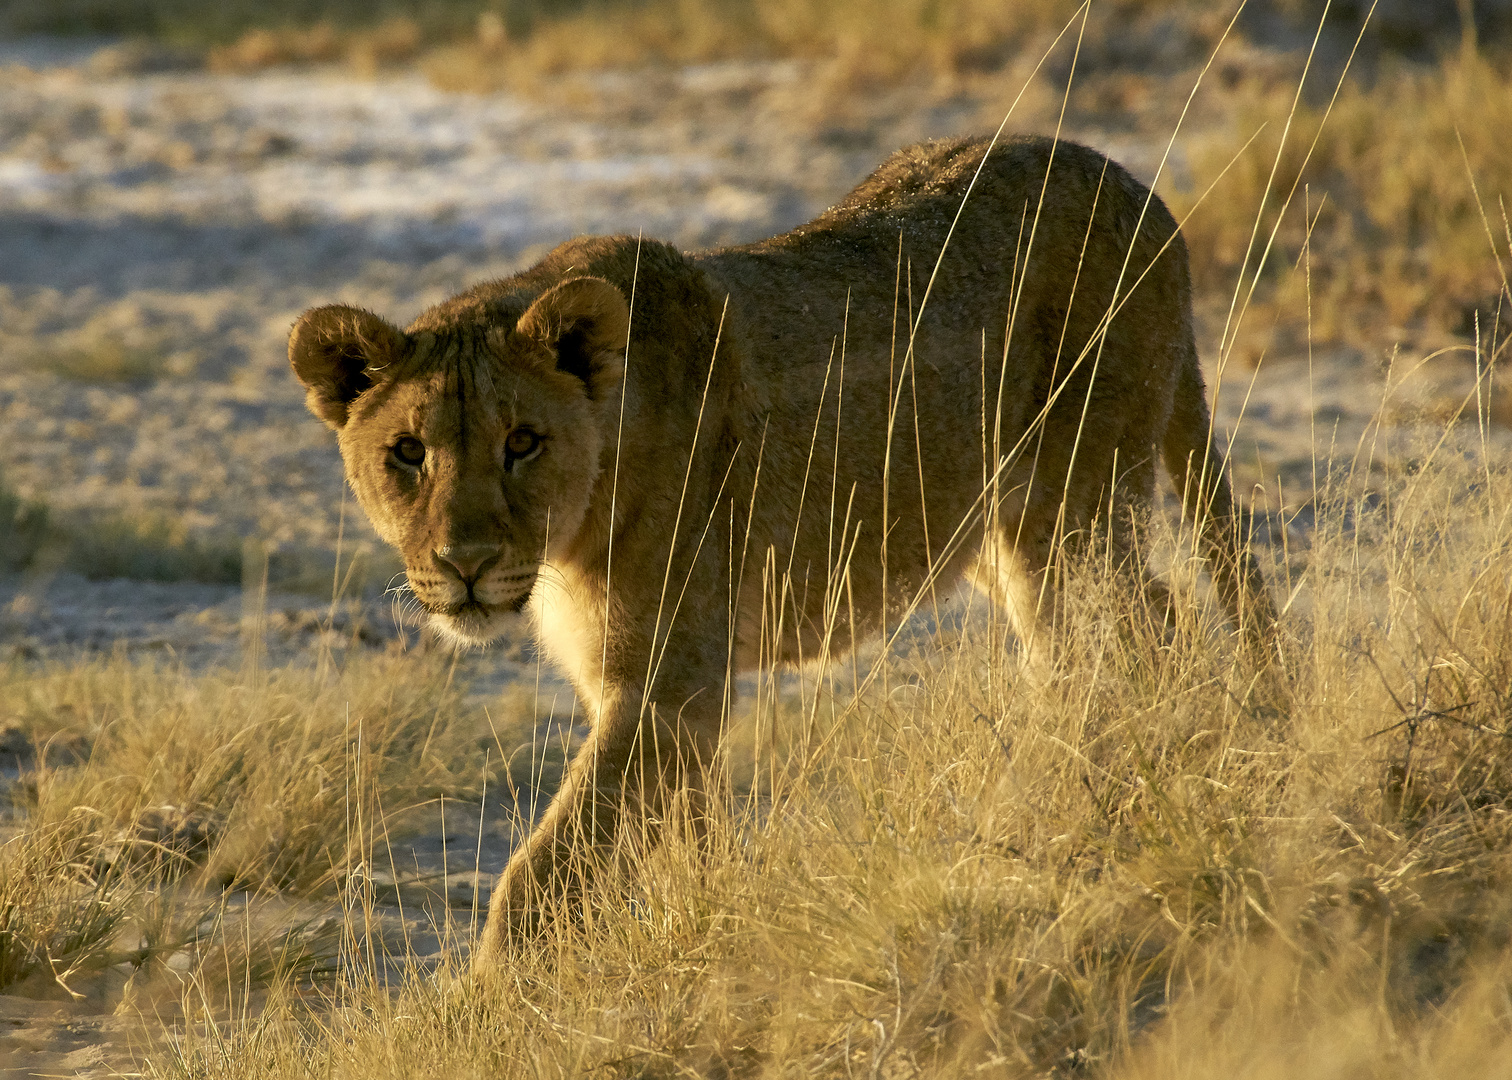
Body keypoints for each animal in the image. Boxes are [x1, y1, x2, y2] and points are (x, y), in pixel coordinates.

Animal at [288, 132, 1270, 962]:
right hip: (1012, 534)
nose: (466, 564)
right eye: (407, 453)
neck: (576, 526)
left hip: (1076, 505)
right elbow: (681, 839)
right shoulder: (651, 693)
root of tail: (1143, 193)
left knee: (1143, 633)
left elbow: (546, 869)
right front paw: (694, 933)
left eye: (522, 442)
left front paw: (487, 1008)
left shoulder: (670, 687)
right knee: (1131, 625)